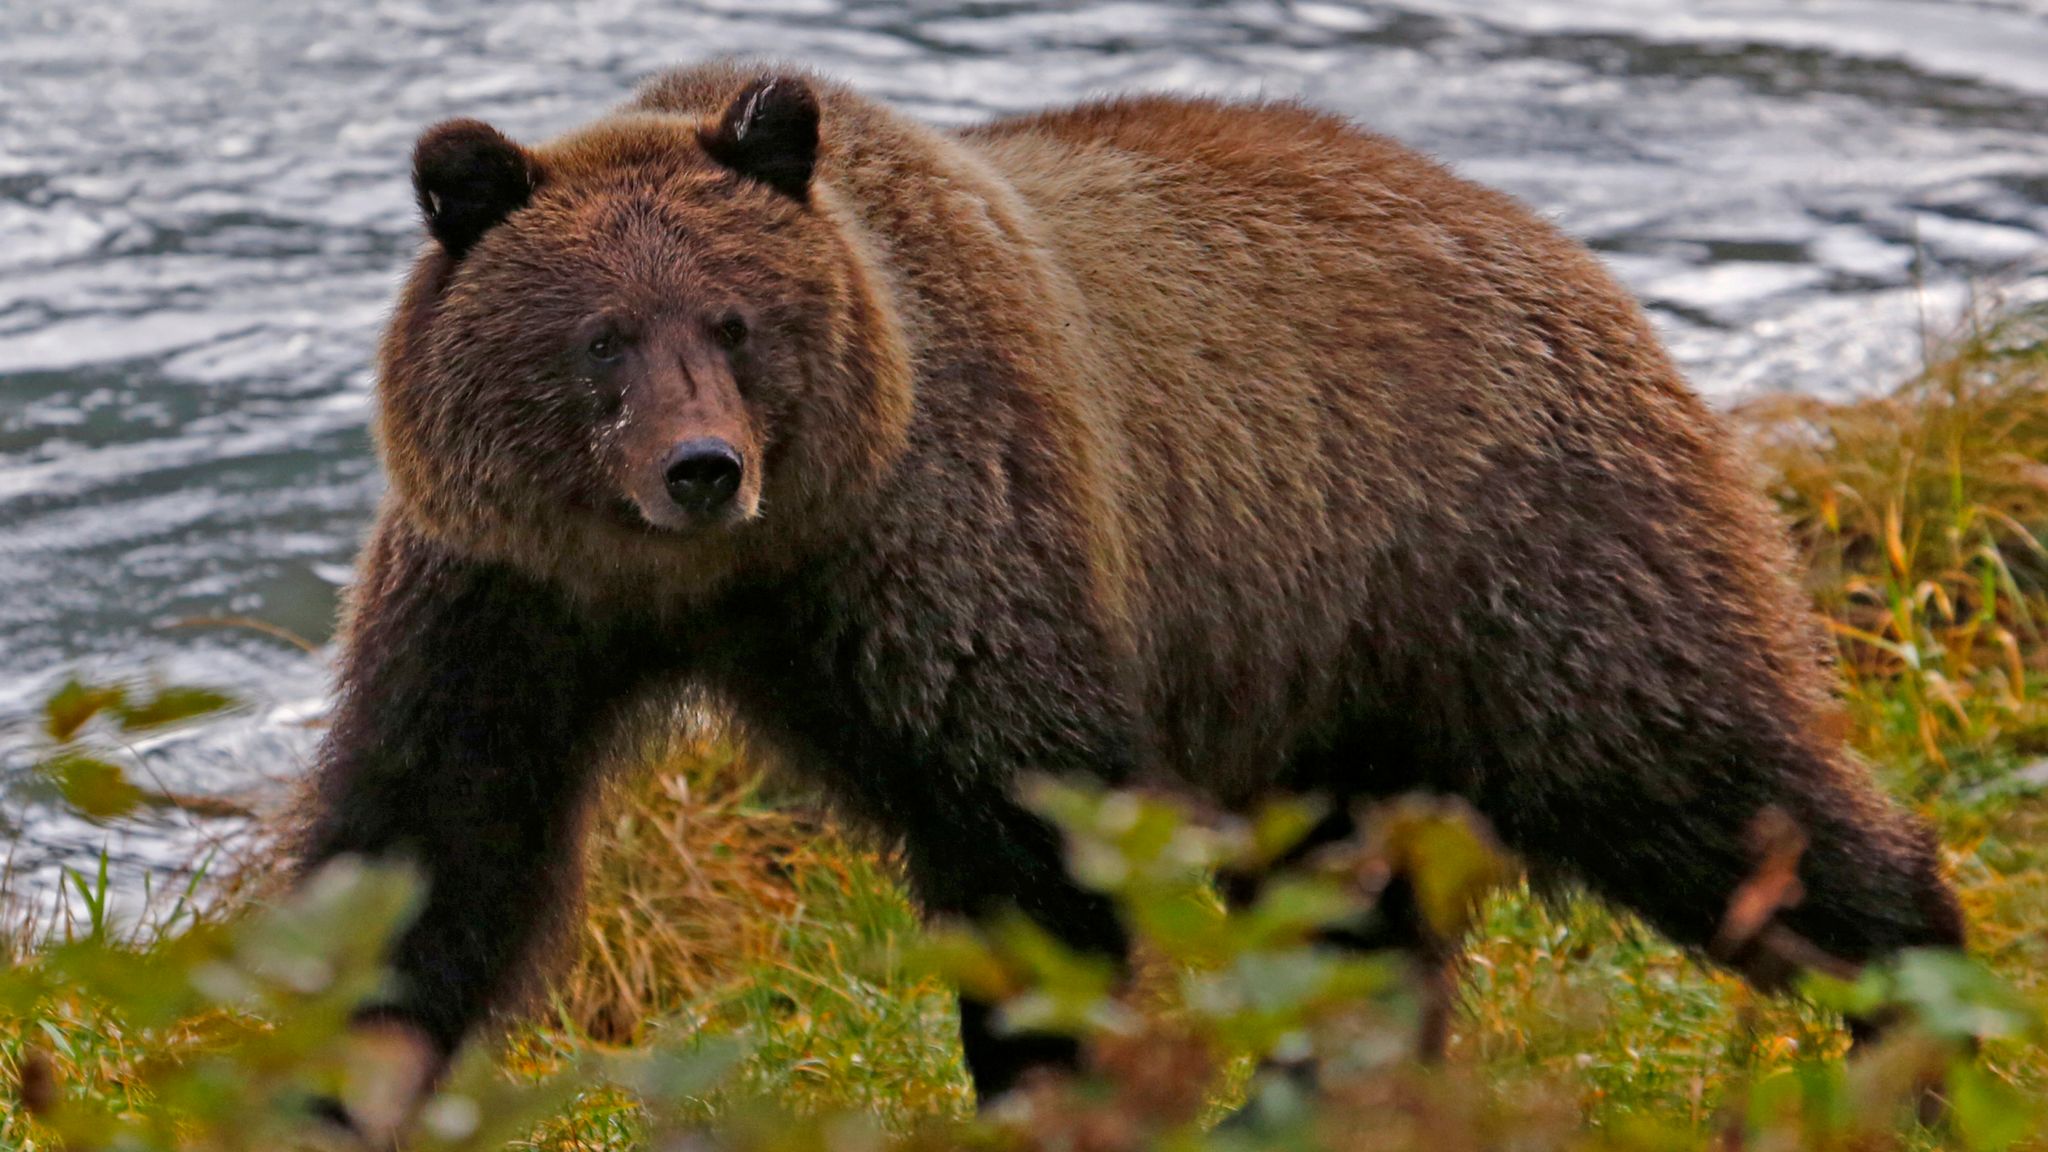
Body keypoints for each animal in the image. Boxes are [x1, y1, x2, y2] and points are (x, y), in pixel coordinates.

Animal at [292, 58, 1966, 1123]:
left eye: (735, 319)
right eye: (599, 338)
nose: (701, 464)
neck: (720, 577)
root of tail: (1562, 251)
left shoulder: (954, 537)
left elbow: (1032, 849)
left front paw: (1042, 1083)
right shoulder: (506, 592)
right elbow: (433, 849)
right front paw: (337, 1082)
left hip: (1516, 553)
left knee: (1703, 786)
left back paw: (1930, 1023)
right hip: (1338, 675)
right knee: (1351, 920)